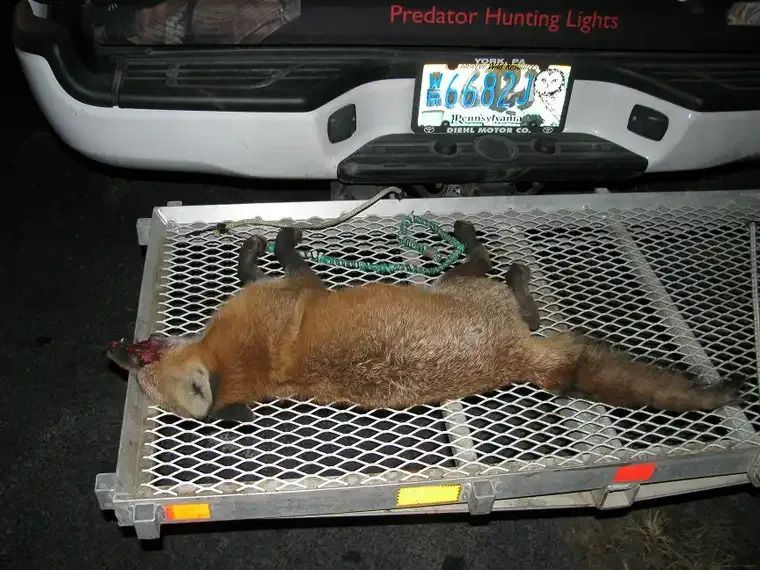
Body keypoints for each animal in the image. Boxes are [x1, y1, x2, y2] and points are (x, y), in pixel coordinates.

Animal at [107, 221, 741, 422]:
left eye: (143, 367)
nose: (111, 354)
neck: (248, 363)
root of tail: (518, 360)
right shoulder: (298, 287)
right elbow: (277, 264)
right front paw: (276, 240)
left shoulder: (296, 291)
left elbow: (263, 265)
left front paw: (268, 241)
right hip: (462, 284)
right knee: (506, 287)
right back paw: (493, 255)